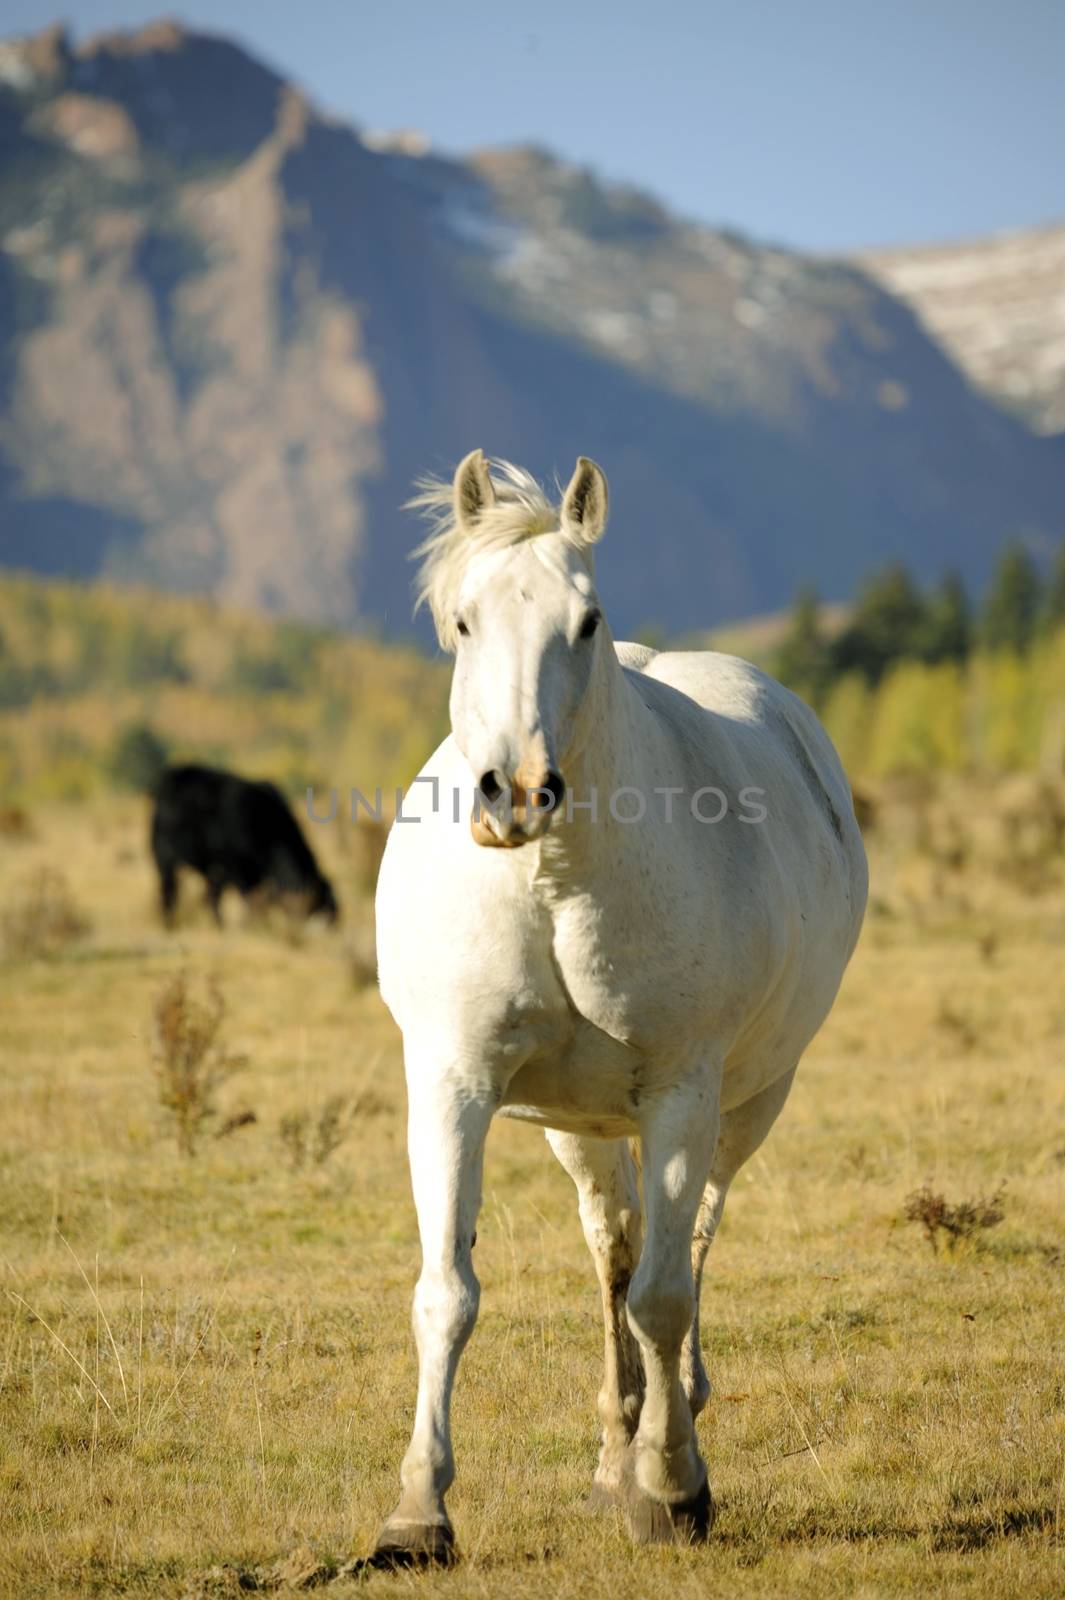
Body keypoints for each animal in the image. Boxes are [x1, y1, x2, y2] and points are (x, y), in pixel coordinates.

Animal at [149, 761, 335, 928]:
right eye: (320, 904)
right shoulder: (234, 868)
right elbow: (247, 900)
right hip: (164, 857)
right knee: (169, 894)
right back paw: (170, 924)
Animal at [370, 454, 863, 1561]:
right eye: (462, 620)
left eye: (585, 621)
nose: (515, 791)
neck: (552, 883)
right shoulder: (452, 1085)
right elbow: (446, 1294)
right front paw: (419, 1508)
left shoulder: (682, 1094)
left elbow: (667, 1298)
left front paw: (671, 1490)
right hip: (581, 1126)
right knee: (613, 1250)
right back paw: (613, 1447)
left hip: (744, 1105)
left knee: (690, 1250)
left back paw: (665, 1441)